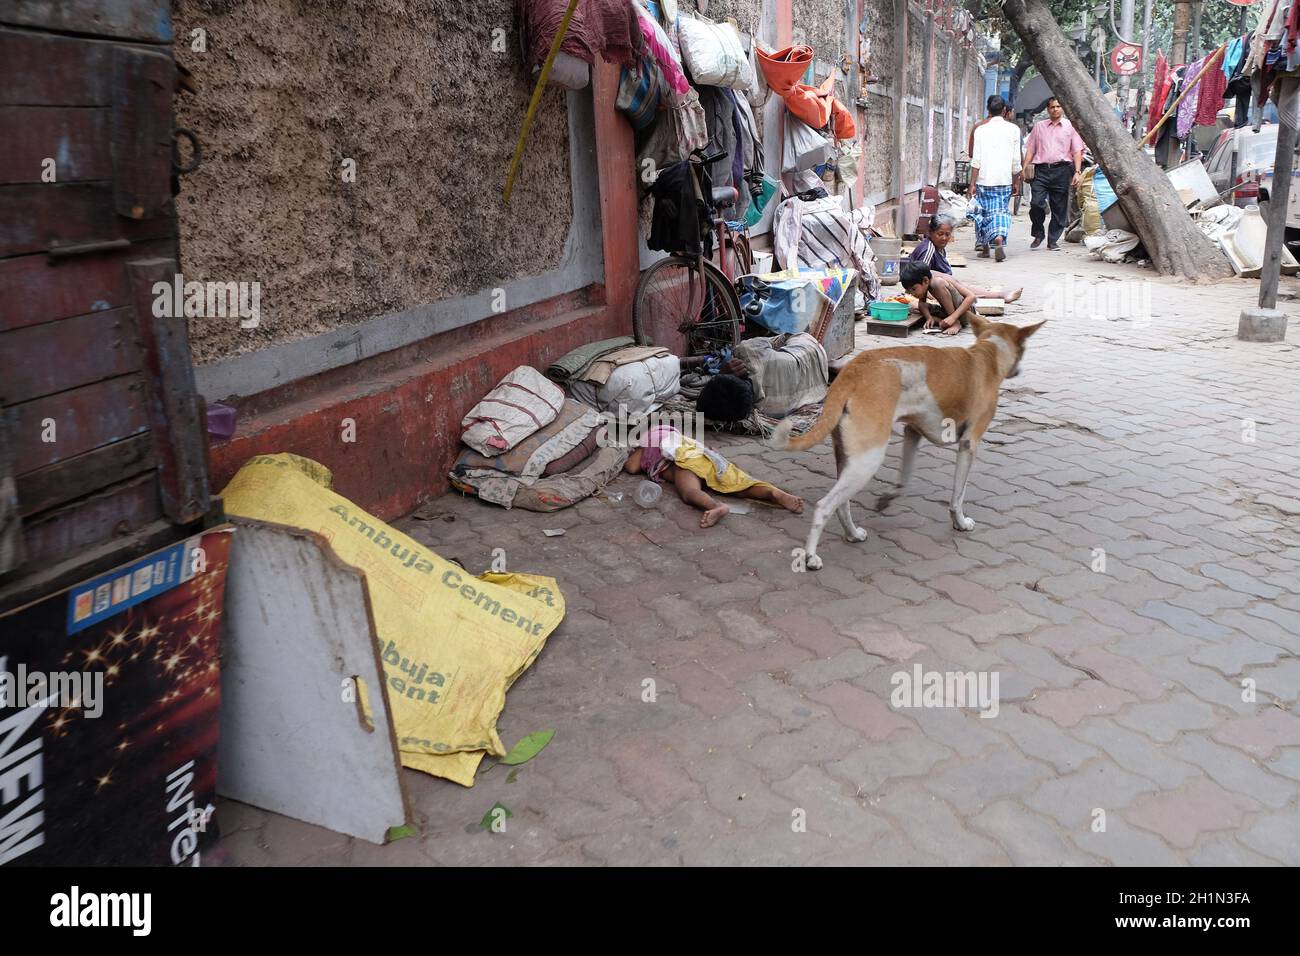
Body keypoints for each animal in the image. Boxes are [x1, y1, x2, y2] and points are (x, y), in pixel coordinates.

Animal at [769, 316, 1045, 567]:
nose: (1019, 370)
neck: (988, 353)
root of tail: (853, 370)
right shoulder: (969, 444)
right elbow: (958, 495)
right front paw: (960, 522)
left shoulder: (913, 432)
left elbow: (904, 479)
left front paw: (887, 499)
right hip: (867, 461)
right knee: (824, 506)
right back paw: (810, 557)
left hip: (848, 459)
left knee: (841, 503)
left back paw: (852, 534)